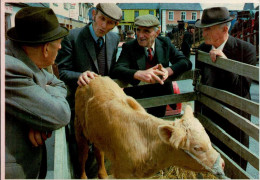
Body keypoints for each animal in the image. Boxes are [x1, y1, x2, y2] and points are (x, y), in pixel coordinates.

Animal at [74, 76, 224, 179]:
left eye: (209, 140)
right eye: (197, 148)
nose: (222, 163)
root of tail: (93, 76)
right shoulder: (122, 172)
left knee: (98, 151)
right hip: (79, 127)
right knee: (83, 153)